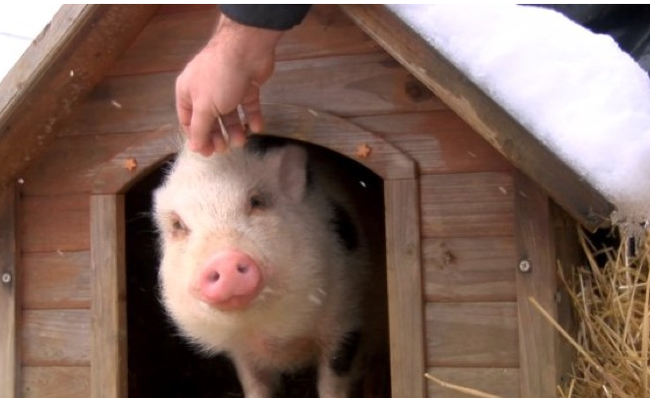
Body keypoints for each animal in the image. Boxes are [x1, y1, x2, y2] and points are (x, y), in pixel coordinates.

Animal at [153, 134, 384, 398]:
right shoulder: (242, 352)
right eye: (178, 225)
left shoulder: (346, 317)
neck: (269, 334)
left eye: (256, 202)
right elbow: (255, 384)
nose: (225, 259)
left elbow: (333, 380)